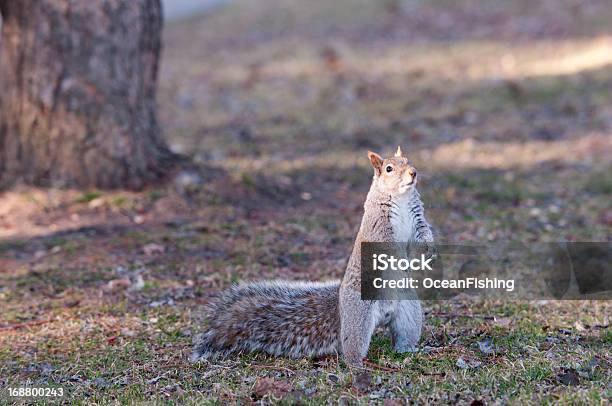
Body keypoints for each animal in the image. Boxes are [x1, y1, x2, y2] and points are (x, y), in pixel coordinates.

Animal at [191, 147, 436, 368]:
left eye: (408, 160)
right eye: (388, 169)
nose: (413, 173)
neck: (401, 198)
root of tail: (341, 309)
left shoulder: (417, 218)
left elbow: (423, 234)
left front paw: (427, 253)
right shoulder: (378, 227)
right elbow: (387, 246)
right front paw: (403, 259)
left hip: (409, 312)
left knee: (404, 334)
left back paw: (411, 350)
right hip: (359, 316)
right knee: (352, 346)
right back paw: (357, 364)